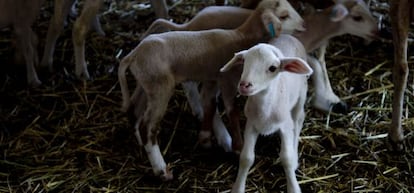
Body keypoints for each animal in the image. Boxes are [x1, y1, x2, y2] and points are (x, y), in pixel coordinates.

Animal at [118, 0, 302, 181]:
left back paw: (140, 143)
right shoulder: (228, 81)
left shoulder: (213, 79)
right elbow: (231, 111)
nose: (303, 26)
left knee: (134, 109)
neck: (240, 36)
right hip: (160, 88)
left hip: (146, 84)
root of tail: (132, 55)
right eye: (284, 16)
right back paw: (161, 169)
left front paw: (206, 138)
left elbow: (210, 103)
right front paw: (237, 147)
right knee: (148, 127)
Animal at [222, 35, 312, 193]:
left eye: (272, 68)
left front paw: (293, 187)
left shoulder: (285, 125)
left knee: (299, 119)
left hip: (302, 92)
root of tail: (289, 36)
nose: (244, 85)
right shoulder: (251, 124)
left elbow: (287, 159)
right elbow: (246, 158)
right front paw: (238, 187)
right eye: (244, 62)